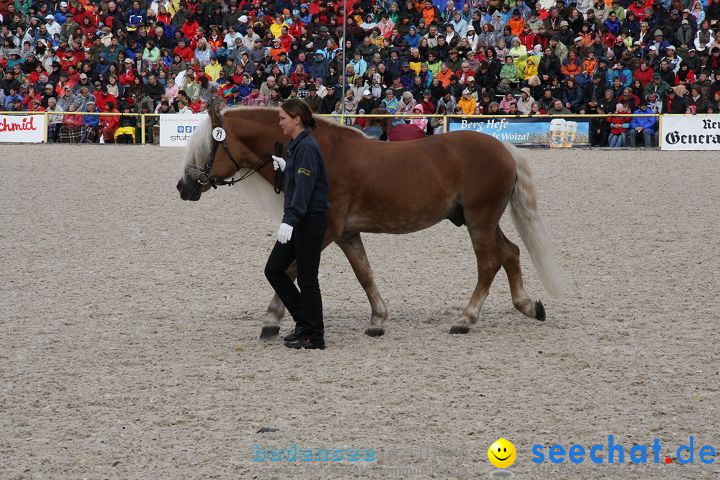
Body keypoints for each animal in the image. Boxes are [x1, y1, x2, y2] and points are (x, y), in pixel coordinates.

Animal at [174, 106, 564, 338]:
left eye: (207, 145)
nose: (184, 186)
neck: (321, 153)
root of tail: (504, 148)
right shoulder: (347, 234)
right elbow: (364, 274)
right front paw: (378, 319)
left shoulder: (323, 231)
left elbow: (289, 269)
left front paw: (272, 319)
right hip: (477, 220)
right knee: (510, 253)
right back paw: (529, 306)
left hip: (479, 220)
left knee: (489, 264)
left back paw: (465, 319)